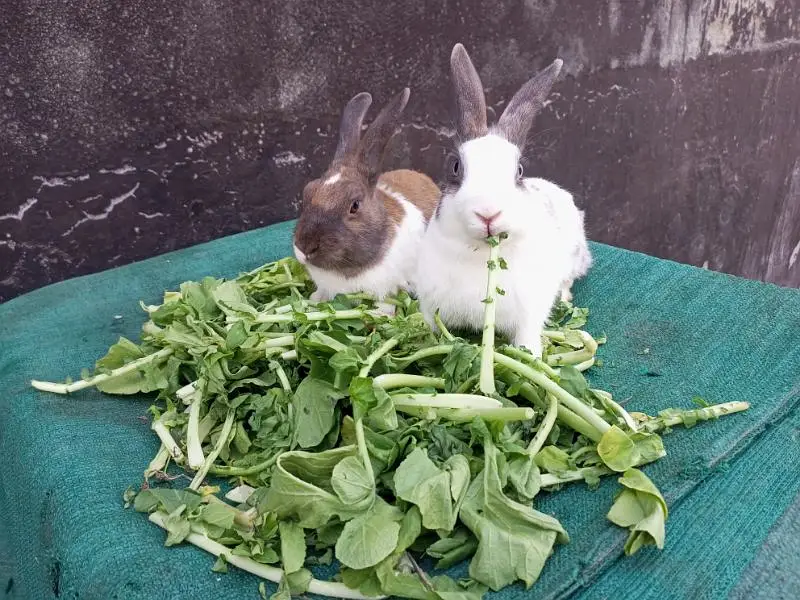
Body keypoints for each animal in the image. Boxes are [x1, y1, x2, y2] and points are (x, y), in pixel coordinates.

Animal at [293, 88, 441, 314]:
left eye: (354, 206)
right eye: (308, 190)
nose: (305, 247)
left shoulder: (387, 288)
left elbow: (385, 304)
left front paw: (379, 314)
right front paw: (312, 302)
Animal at [414, 44, 592, 358]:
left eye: (519, 170)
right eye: (455, 166)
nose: (488, 213)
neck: (481, 256)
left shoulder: (529, 314)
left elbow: (526, 340)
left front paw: (531, 356)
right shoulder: (429, 305)